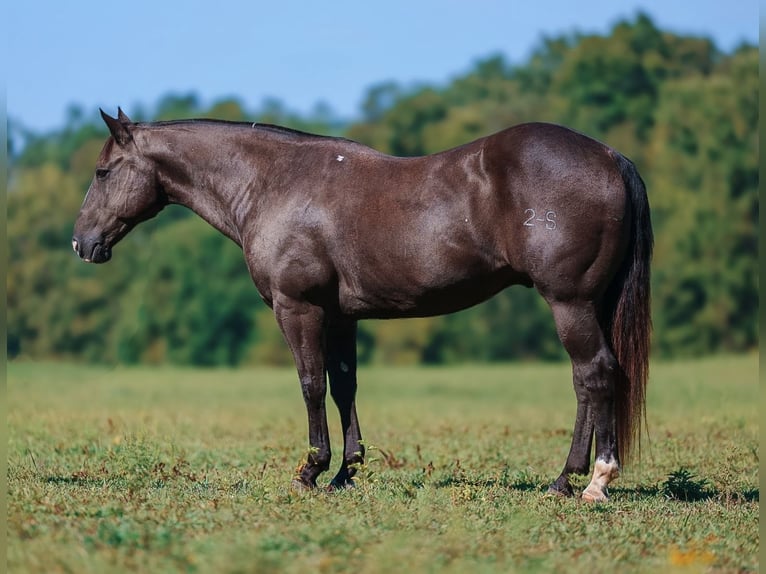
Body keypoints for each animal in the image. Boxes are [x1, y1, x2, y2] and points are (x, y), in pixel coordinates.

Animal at [73, 108, 652, 501]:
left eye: (103, 172)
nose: (81, 242)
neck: (272, 183)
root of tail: (609, 156)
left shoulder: (298, 308)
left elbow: (310, 384)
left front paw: (310, 470)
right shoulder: (341, 317)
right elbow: (343, 386)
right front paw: (345, 472)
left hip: (569, 302)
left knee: (595, 374)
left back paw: (594, 481)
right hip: (587, 305)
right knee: (586, 382)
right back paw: (563, 480)